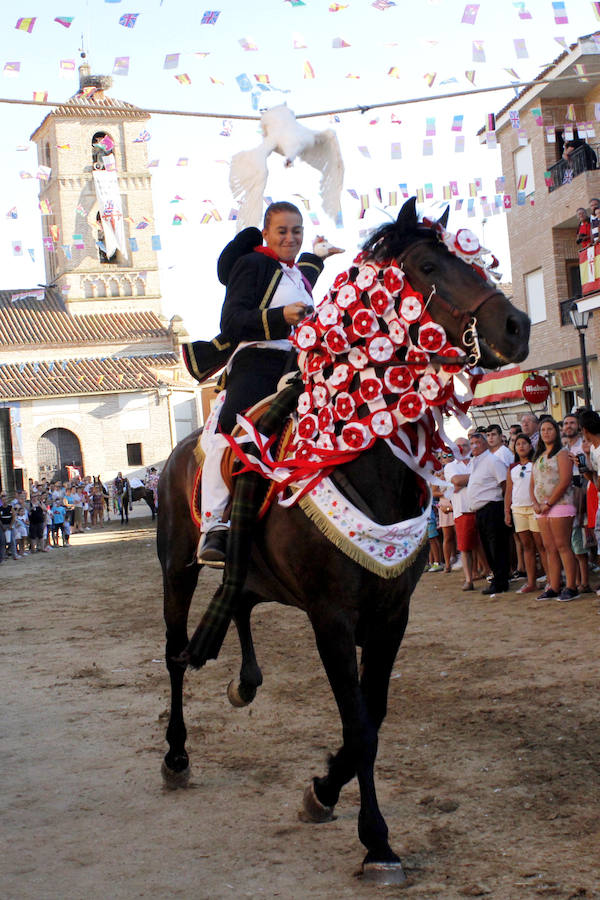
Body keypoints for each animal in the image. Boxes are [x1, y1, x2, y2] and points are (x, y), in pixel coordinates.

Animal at [156, 199, 528, 884]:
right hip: (176, 568)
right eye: (427, 265)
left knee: (238, 600)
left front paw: (325, 790)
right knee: (174, 653)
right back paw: (175, 756)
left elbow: (371, 719)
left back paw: (244, 682)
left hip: (256, 576)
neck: (363, 457)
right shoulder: (331, 617)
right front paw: (375, 841)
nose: (515, 327)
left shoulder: (391, 614)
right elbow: (358, 725)